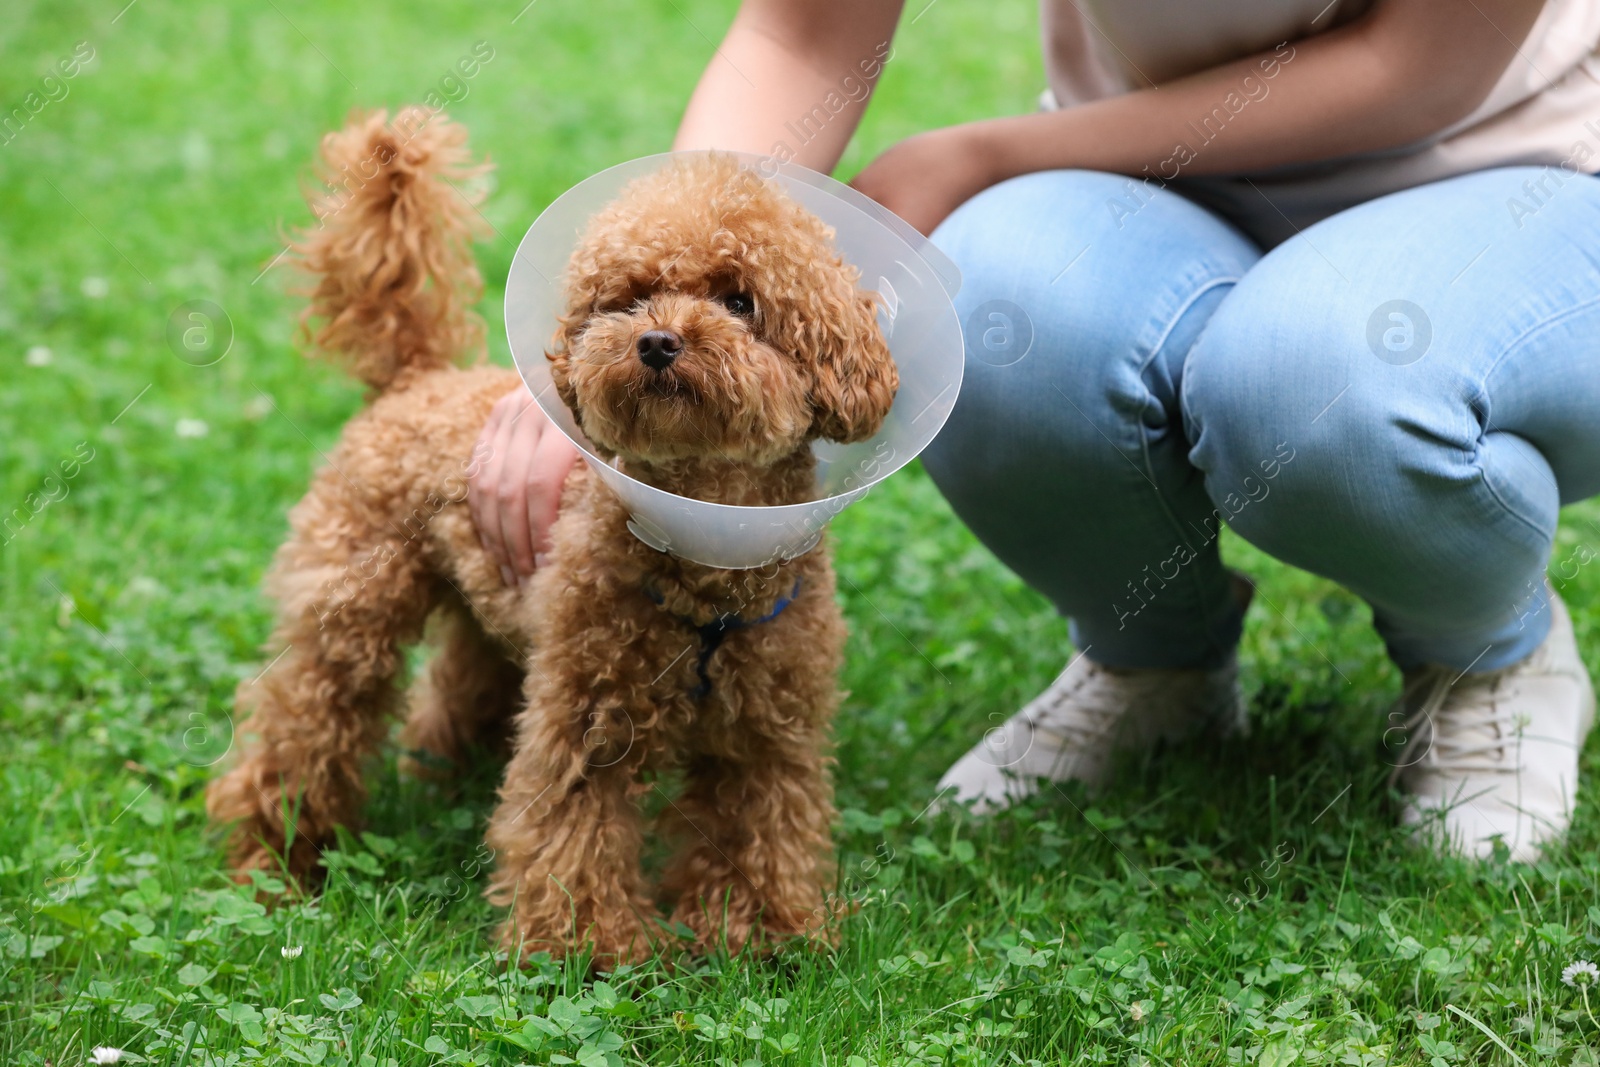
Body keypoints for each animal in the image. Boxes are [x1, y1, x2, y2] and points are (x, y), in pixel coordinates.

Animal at [204, 108, 896, 966]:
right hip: (351, 609)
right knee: (302, 727)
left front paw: (766, 933)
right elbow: (574, 827)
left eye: (741, 300)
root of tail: (418, 377)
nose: (657, 342)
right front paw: (586, 946)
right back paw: (273, 857)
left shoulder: (769, 726)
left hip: (497, 611)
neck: (704, 555)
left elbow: (761, 821)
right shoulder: (590, 716)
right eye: (632, 298)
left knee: (456, 682)